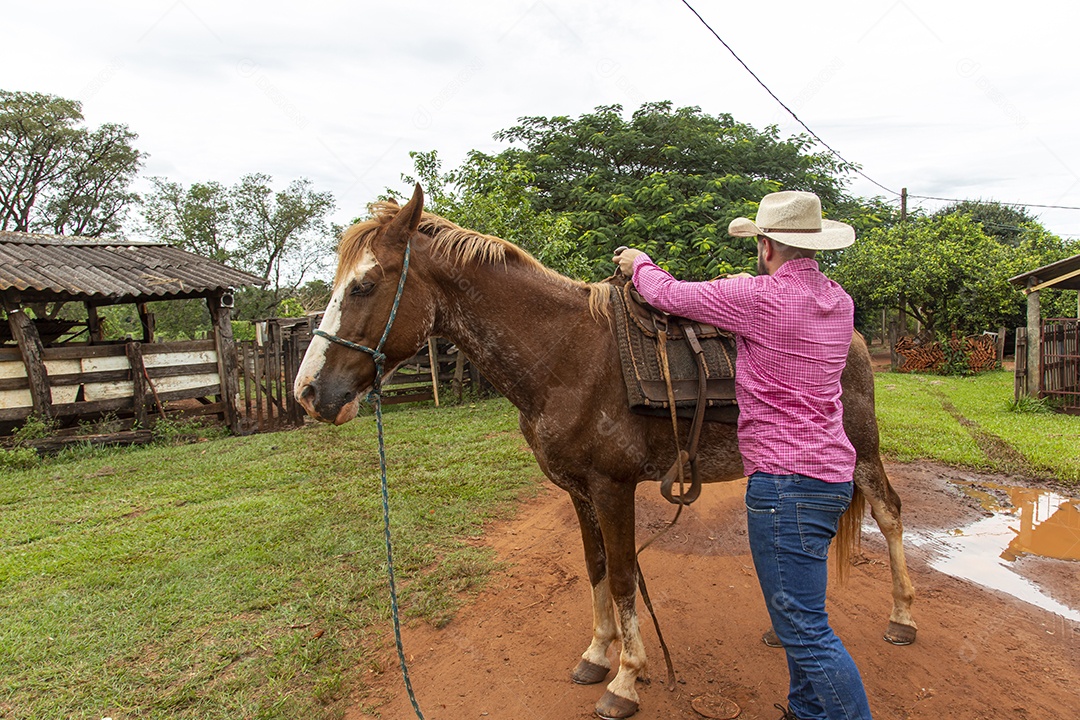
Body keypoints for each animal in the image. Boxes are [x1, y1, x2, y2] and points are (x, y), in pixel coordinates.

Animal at [291, 185, 915, 720]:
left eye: (365, 285)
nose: (309, 393)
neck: (565, 358)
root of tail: (858, 336)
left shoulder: (614, 488)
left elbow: (621, 577)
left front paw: (626, 680)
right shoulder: (578, 490)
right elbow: (594, 567)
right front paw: (596, 656)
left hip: (862, 451)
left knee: (888, 513)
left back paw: (903, 616)